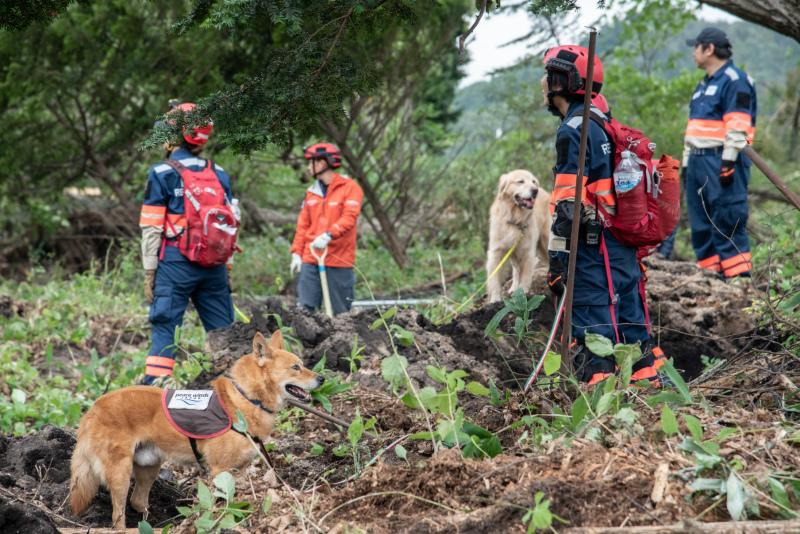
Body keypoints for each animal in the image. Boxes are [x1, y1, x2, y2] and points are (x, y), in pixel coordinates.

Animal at [68, 332, 318, 528]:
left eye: (303, 364)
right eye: (296, 367)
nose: (322, 377)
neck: (245, 398)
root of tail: (93, 409)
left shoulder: (239, 470)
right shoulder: (219, 470)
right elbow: (221, 503)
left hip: (149, 466)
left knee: (137, 501)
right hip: (120, 473)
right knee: (117, 515)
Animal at [488, 172, 552, 306]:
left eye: (533, 182)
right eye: (520, 181)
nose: (535, 190)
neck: (514, 219)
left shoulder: (527, 251)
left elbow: (526, 275)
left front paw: (524, 293)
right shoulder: (496, 252)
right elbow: (495, 279)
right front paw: (494, 300)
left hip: (546, 240)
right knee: (516, 270)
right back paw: (513, 288)